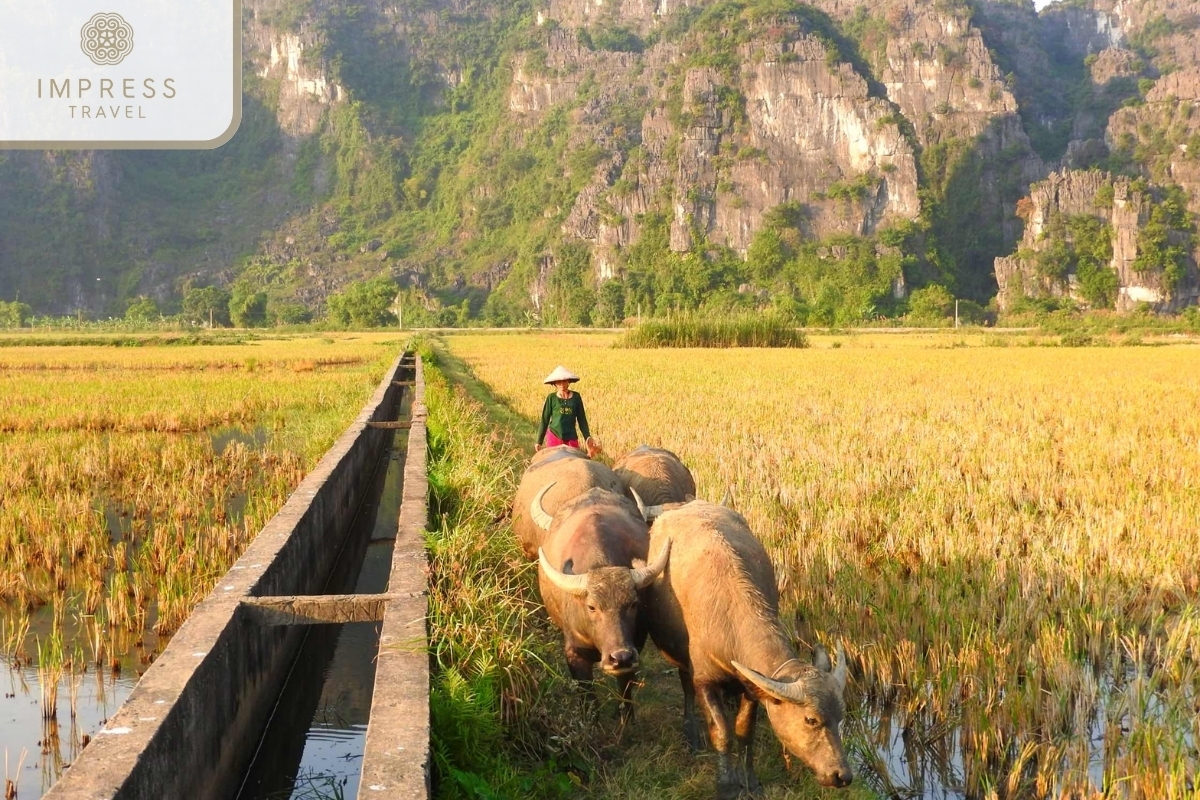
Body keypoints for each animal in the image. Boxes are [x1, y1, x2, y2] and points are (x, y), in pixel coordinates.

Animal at [537, 484, 676, 724]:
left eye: (633, 604)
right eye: (592, 607)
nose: (620, 657)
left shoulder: (635, 646)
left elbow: (625, 686)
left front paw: (626, 719)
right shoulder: (574, 654)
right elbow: (587, 696)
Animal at [648, 503, 854, 796]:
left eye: (841, 715)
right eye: (811, 720)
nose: (842, 775)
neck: (729, 618)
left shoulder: (752, 687)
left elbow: (745, 732)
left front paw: (750, 780)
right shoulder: (705, 680)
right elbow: (722, 733)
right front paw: (726, 784)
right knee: (685, 684)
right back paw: (691, 732)